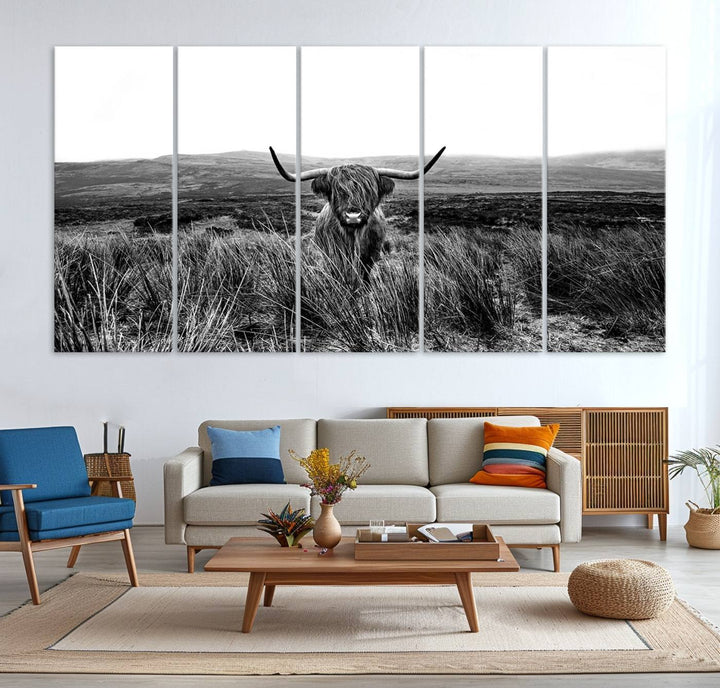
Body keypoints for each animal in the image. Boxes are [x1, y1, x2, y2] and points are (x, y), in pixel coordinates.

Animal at [270, 146, 444, 280]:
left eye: (368, 190)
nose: (353, 216)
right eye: (338, 190)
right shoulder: (333, 255)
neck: (352, 237)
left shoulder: (370, 256)